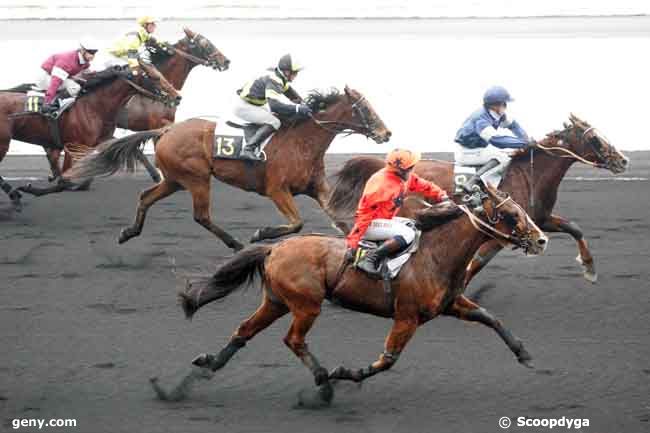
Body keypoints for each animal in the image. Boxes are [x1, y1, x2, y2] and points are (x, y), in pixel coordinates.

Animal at [0, 64, 175, 208]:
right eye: (154, 77)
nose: (177, 96)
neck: (94, 108)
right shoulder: (73, 145)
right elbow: (64, 181)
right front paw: (30, 188)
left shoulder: (100, 141)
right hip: (4, 142)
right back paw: (15, 194)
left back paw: (15, 194)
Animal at [67, 85, 390, 250]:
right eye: (364, 108)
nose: (385, 133)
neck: (302, 141)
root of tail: (166, 130)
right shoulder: (277, 190)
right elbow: (296, 223)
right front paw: (261, 234)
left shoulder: (317, 187)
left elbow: (343, 222)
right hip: (196, 179)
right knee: (201, 215)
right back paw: (235, 243)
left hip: (174, 180)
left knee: (146, 197)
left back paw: (128, 233)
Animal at [148, 181, 548, 404]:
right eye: (512, 215)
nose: (542, 239)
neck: (434, 254)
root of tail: (275, 249)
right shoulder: (407, 317)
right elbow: (387, 360)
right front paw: (345, 373)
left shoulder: (450, 304)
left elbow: (490, 317)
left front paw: (525, 354)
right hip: (306, 305)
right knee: (293, 340)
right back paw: (323, 383)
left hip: (276, 302)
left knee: (244, 332)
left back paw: (199, 372)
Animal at [326, 114, 624, 284]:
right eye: (595, 140)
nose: (622, 160)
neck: (529, 176)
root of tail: (384, 165)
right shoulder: (495, 234)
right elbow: (477, 262)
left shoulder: (540, 219)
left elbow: (575, 228)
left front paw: (590, 268)